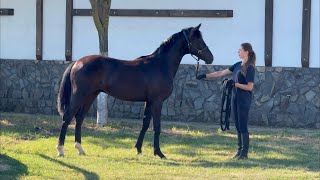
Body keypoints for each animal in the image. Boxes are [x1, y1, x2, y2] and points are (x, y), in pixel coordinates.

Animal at [56, 23, 214, 158]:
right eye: (198, 39)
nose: (211, 58)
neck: (160, 65)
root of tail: (77, 62)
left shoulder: (149, 102)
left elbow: (145, 124)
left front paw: (138, 149)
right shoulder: (157, 102)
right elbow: (157, 126)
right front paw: (159, 153)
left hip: (90, 96)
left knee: (79, 119)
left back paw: (80, 149)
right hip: (79, 95)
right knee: (67, 118)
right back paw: (61, 150)